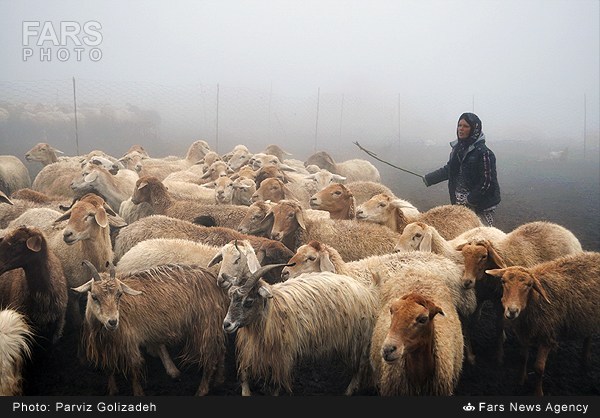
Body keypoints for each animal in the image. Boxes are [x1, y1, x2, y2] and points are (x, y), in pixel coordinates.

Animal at [71, 262, 230, 396]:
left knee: (210, 357)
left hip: (207, 325)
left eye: (119, 294)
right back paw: (219, 380)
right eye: (94, 296)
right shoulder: (105, 346)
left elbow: (134, 366)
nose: (113, 322)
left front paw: (138, 392)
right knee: (221, 350)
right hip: (215, 327)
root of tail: (214, 281)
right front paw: (112, 390)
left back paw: (202, 390)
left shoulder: (130, 339)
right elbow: (108, 368)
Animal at [220, 262, 380, 396]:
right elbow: (245, 376)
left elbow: (276, 384)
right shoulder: (251, 350)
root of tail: (367, 292)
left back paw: (349, 390)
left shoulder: (282, 356)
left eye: (249, 301)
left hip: (358, 339)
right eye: (231, 298)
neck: (273, 312)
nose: (226, 324)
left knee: (360, 367)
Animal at [486, 250, 600, 396]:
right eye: (503, 281)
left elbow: (539, 368)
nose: (512, 311)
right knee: (588, 334)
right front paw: (521, 380)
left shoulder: (547, 336)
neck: (536, 300)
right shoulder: (525, 333)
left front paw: (538, 392)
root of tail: (595, 254)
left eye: (529, 285)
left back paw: (585, 360)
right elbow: (523, 357)